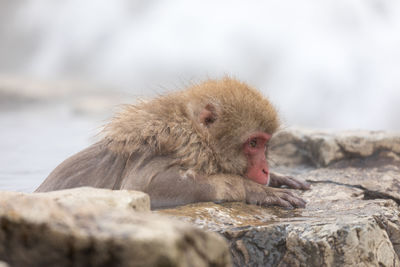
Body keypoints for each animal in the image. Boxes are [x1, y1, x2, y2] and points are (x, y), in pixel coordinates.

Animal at [36, 77, 310, 209]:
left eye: (264, 144)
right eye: (253, 143)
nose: (264, 168)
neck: (195, 136)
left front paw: (276, 178)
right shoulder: (166, 152)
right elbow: (142, 185)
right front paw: (253, 189)